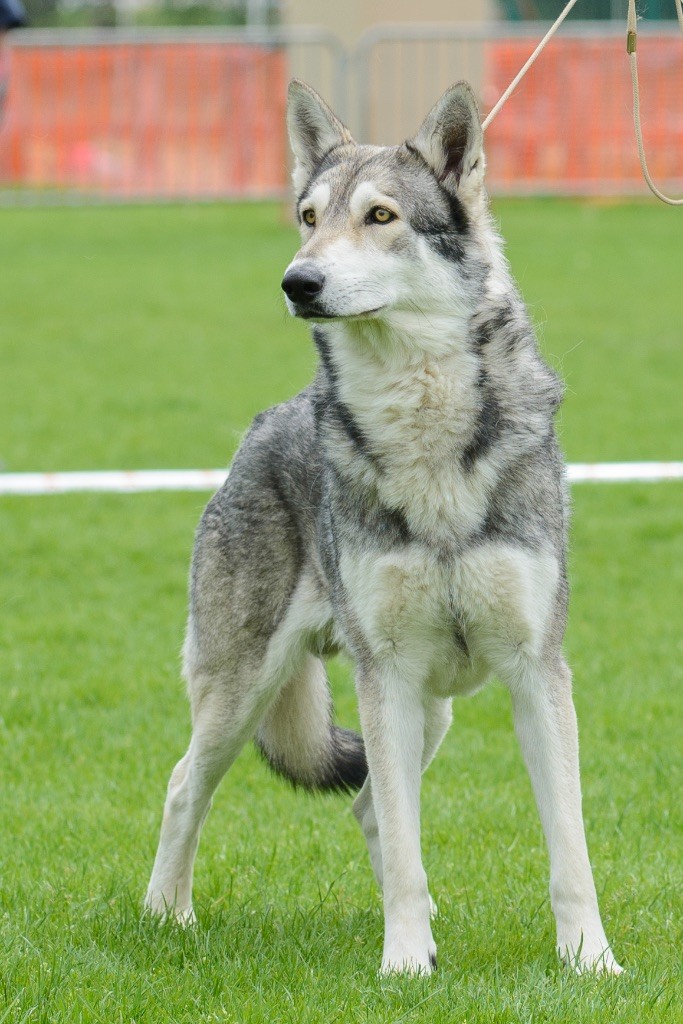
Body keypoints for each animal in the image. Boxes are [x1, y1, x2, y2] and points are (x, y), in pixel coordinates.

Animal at [145, 80, 622, 975]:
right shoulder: (387, 676)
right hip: (256, 692)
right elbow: (406, 846)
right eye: (307, 216)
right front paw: (403, 966)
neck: (420, 421)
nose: (298, 282)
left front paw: (590, 964)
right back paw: (167, 919)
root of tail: (263, 423)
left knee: (366, 808)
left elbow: (568, 850)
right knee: (188, 783)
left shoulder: (536, 672)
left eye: (378, 216)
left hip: (418, 711)